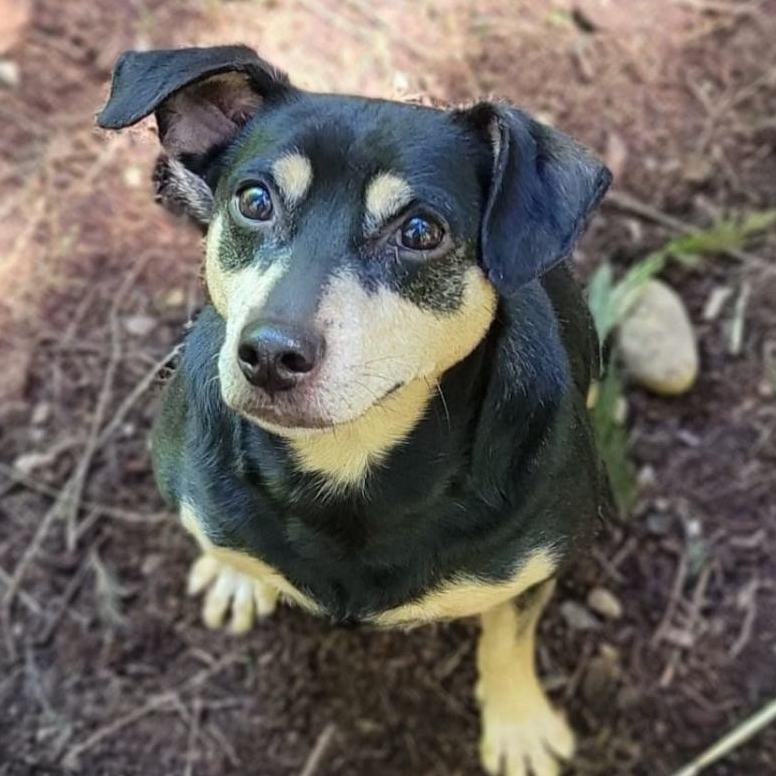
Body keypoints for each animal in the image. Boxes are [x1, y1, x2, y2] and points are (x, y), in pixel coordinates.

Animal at [98, 47, 612, 776]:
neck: (348, 465)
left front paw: (519, 727)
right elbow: (222, 538)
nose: (270, 353)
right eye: (253, 200)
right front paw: (233, 573)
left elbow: (510, 635)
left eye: (420, 230)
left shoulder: (536, 561)